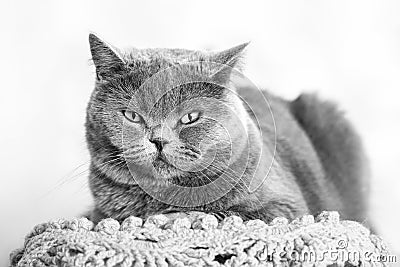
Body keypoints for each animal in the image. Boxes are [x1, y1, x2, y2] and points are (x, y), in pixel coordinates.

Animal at [86, 33, 370, 226]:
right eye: (133, 116)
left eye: (190, 117)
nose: (158, 140)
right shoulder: (99, 214)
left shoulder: (286, 208)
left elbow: (230, 213)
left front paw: (172, 217)